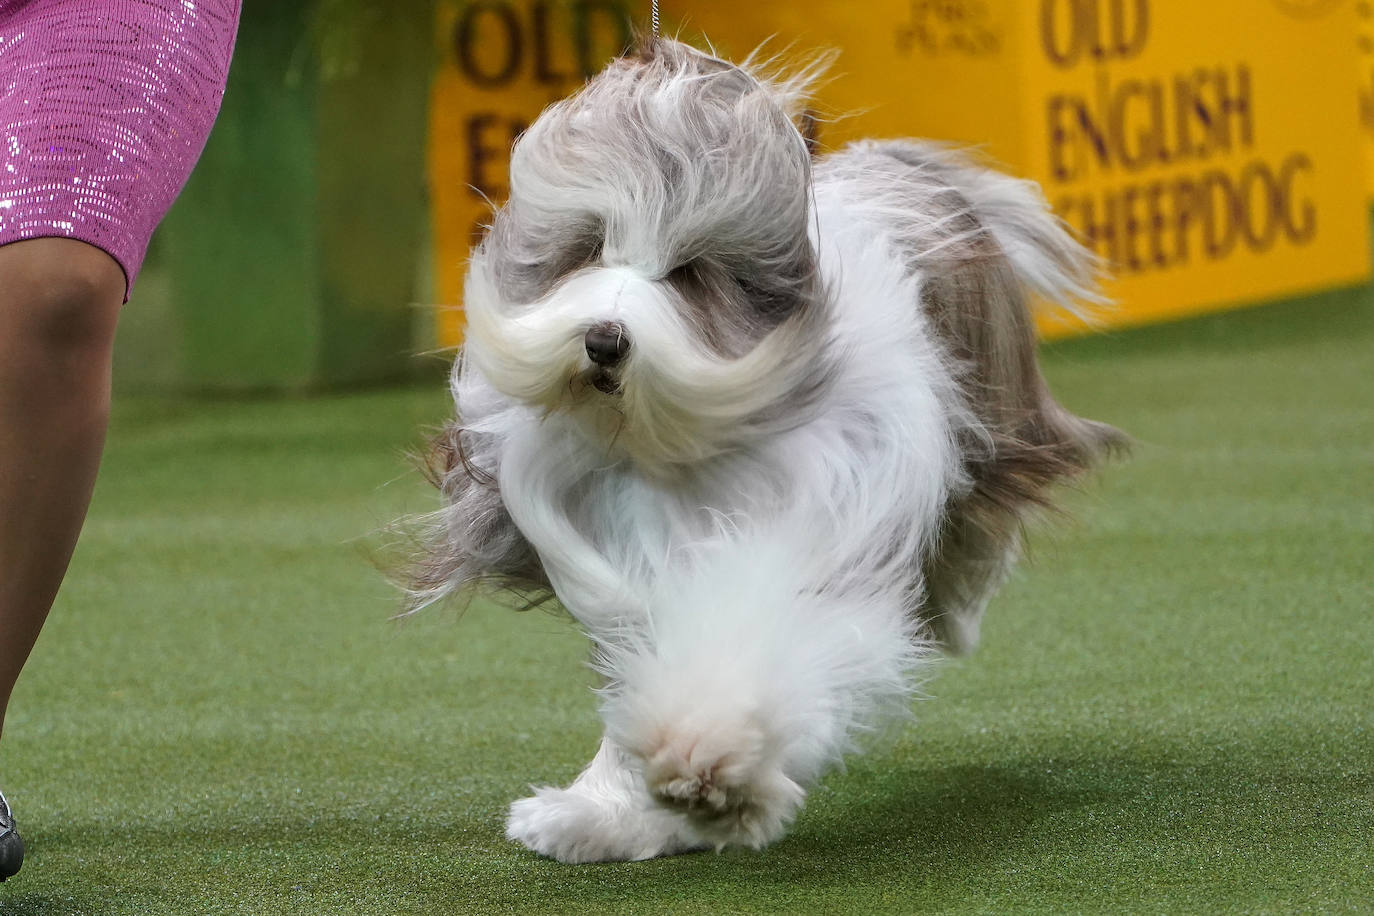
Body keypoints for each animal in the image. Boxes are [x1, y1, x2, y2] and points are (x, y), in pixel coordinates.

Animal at [401, 37, 1121, 867]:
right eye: (587, 247)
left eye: (689, 272)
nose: (604, 340)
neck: (680, 440)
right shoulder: (611, 545)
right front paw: (604, 814)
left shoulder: (819, 516)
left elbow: (749, 642)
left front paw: (710, 761)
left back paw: (958, 610)